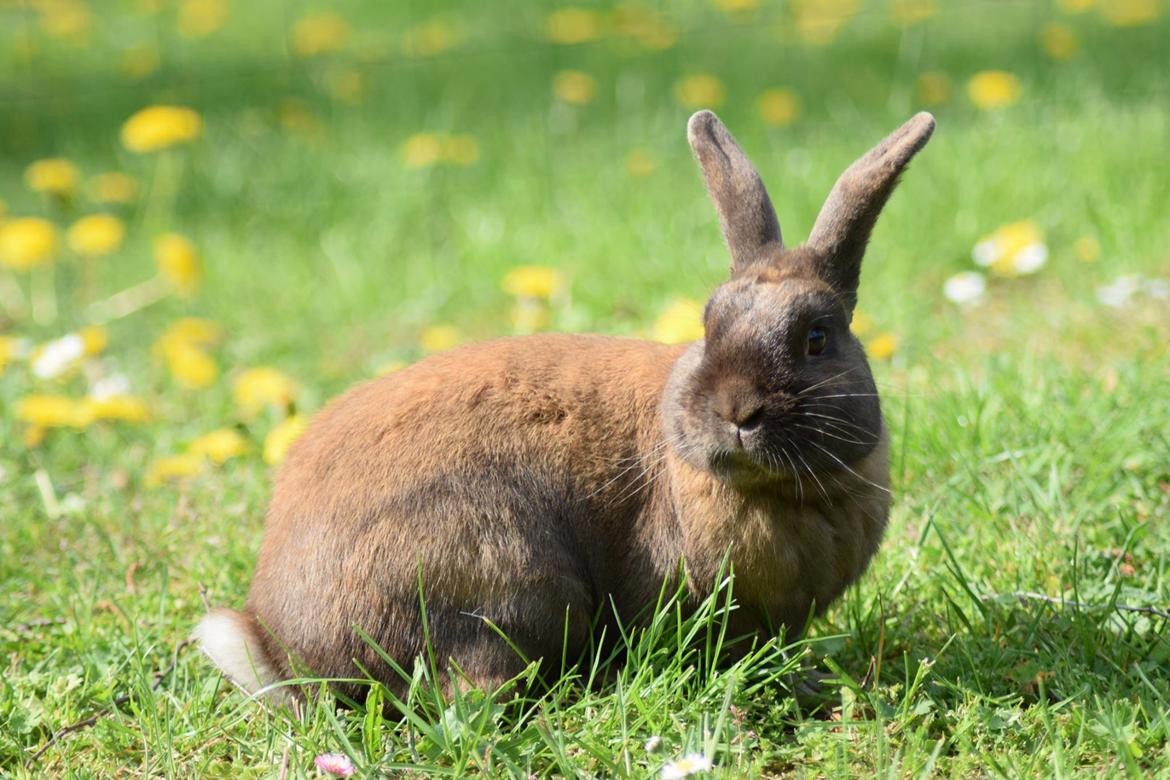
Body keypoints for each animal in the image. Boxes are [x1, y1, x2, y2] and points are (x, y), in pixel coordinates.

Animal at [196, 108, 935, 701]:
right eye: (709, 324)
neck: (781, 492)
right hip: (506, 583)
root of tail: (284, 647)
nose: (736, 413)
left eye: (817, 337)